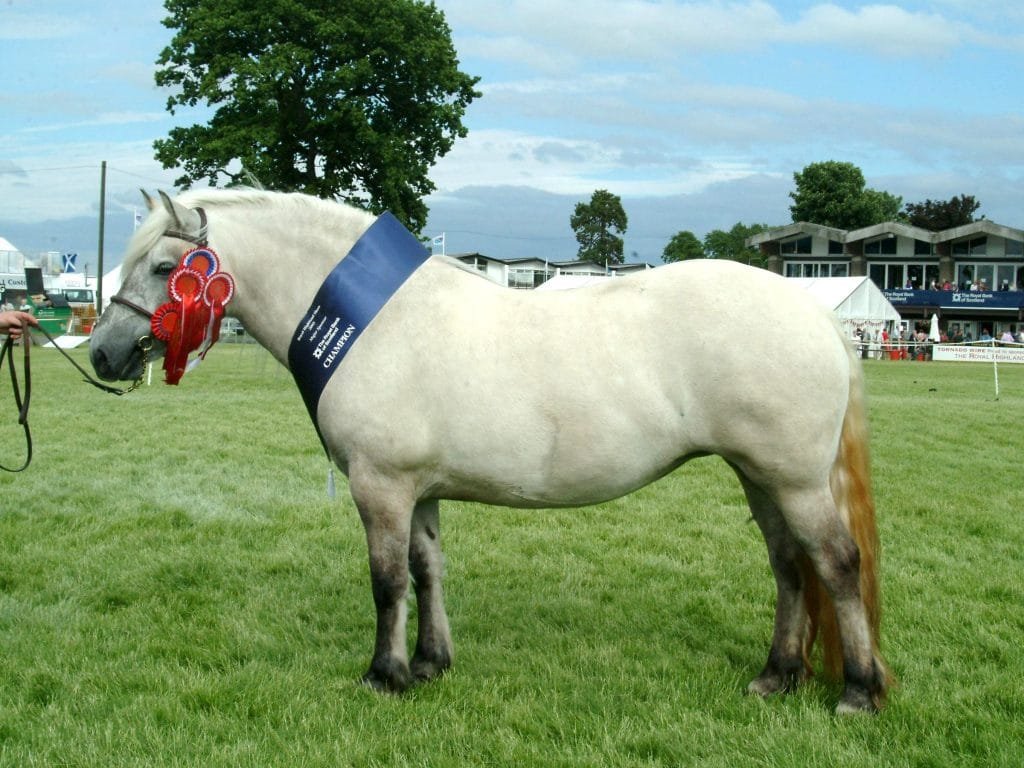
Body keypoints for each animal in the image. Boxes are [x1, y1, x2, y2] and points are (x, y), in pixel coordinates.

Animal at [90, 189, 889, 714]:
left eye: (163, 269)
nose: (102, 353)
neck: (372, 320)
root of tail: (818, 318)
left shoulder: (381, 486)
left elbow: (387, 582)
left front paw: (383, 676)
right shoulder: (418, 491)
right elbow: (427, 571)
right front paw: (429, 665)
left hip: (795, 481)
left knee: (835, 564)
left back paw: (857, 690)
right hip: (760, 477)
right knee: (789, 567)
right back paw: (777, 676)